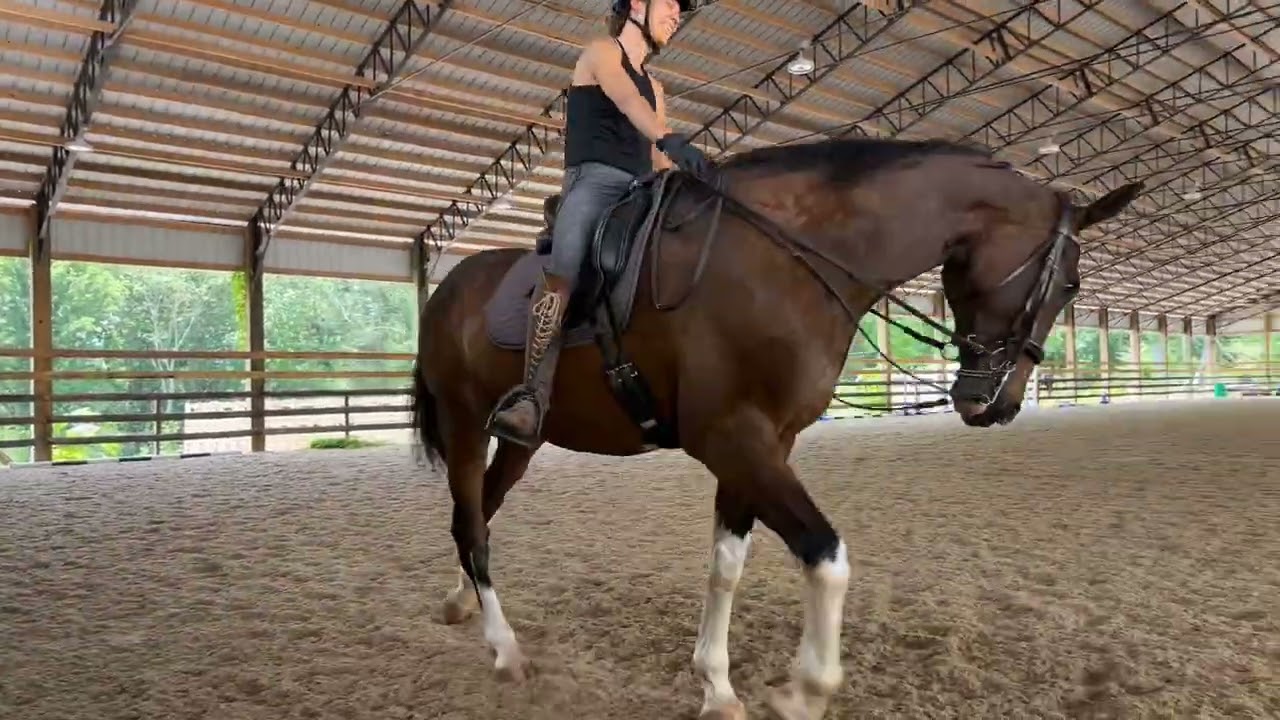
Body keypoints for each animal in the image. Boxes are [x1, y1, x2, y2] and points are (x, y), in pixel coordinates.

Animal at [410, 136, 1142, 720]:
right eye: (1070, 285)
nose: (999, 403)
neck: (789, 259)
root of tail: (448, 286)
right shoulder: (735, 438)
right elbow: (826, 555)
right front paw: (805, 690)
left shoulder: (764, 443)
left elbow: (727, 566)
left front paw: (716, 685)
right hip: (465, 424)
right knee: (472, 527)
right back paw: (505, 651)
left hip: (520, 439)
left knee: (477, 519)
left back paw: (462, 605)